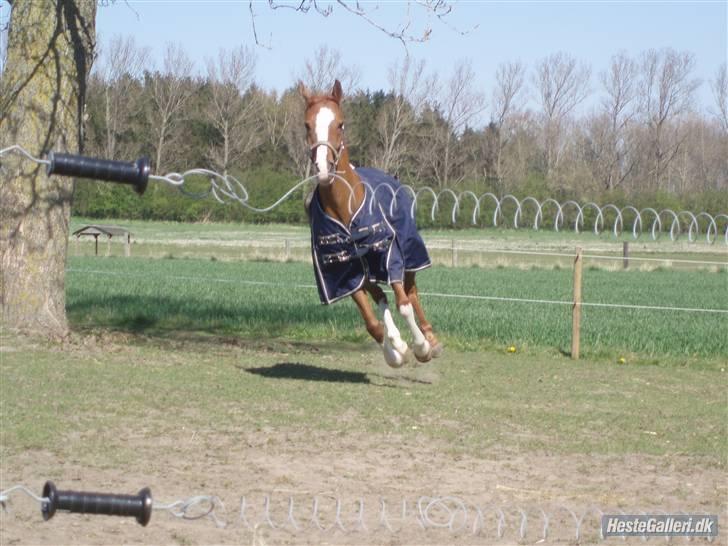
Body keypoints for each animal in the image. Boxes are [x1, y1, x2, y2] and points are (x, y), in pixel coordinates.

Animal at [298, 78, 440, 366]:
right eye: (307, 124)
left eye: (340, 123)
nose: (323, 168)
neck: (345, 205)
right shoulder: (342, 270)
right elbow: (373, 324)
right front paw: (396, 352)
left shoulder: (388, 254)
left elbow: (404, 305)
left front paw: (420, 347)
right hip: (367, 271)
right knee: (380, 297)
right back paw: (399, 342)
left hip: (406, 257)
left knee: (411, 292)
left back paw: (429, 340)